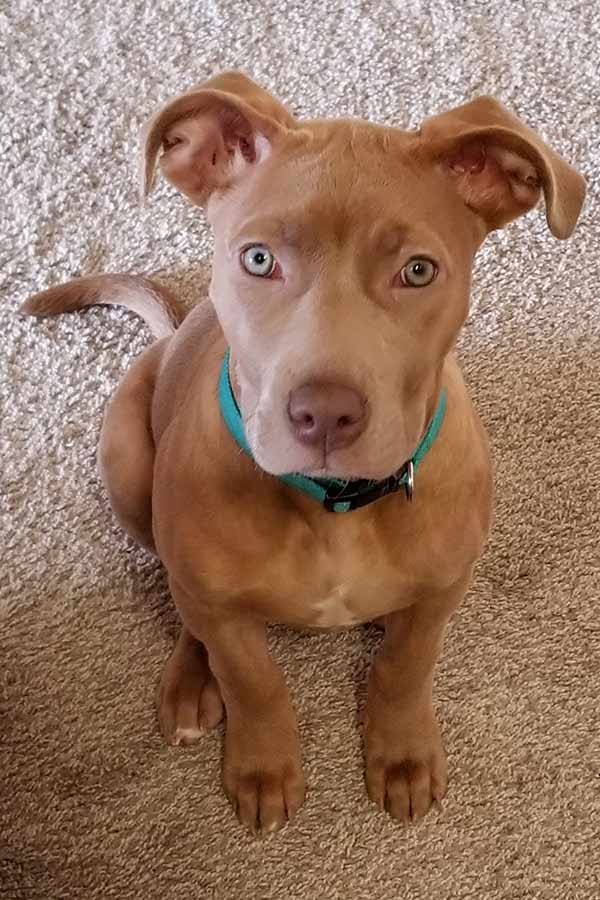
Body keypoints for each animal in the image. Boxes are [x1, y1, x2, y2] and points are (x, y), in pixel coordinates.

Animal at [21, 72, 584, 836]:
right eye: (259, 259)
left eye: (418, 271)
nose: (324, 414)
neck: (334, 507)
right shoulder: (225, 614)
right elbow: (251, 677)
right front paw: (263, 767)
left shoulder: (444, 587)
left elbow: (407, 664)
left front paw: (401, 753)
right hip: (127, 466)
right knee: (179, 593)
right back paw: (190, 680)